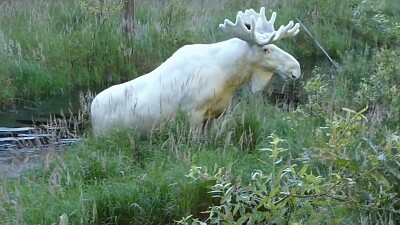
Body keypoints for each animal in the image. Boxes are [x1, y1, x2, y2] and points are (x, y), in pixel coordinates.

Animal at [90, 7, 302, 136]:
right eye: (265, 49)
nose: (295, 69)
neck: (230, 76)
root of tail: (91, 110)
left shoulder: (213, 114)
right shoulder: (193, 112)